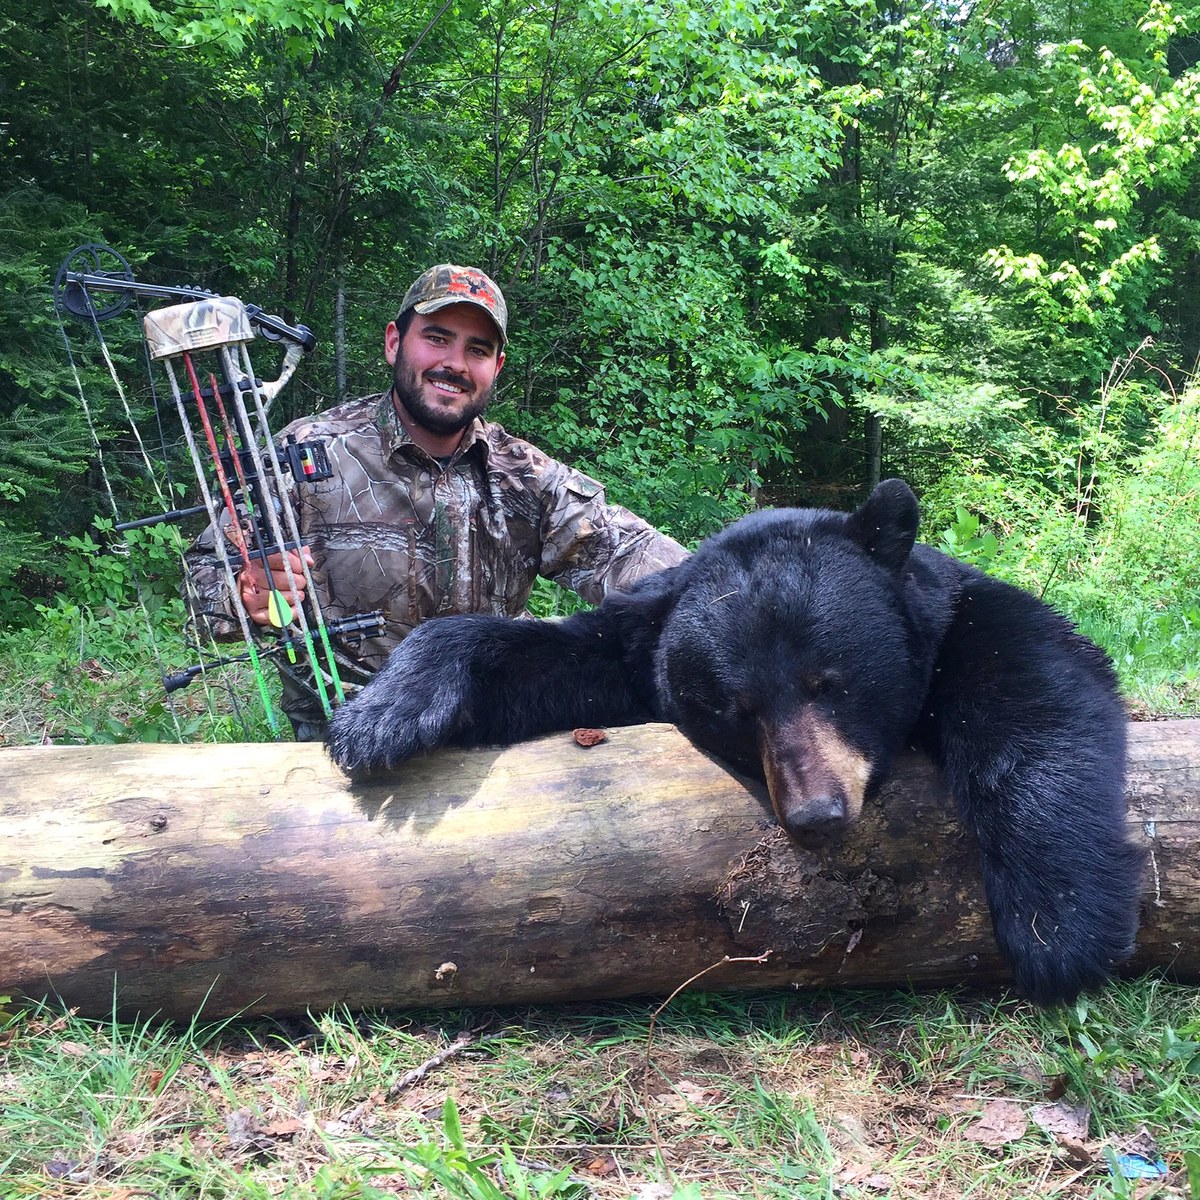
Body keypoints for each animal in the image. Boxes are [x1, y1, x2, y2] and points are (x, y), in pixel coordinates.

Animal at [326, 477, 1142, 1003]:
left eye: (829, 681)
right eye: (735, 707)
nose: (817, 814)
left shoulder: (962, 617)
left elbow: (1037, 688)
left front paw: (1059, 927)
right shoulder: (636, 646)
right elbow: (546, 657)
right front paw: (381, 715)